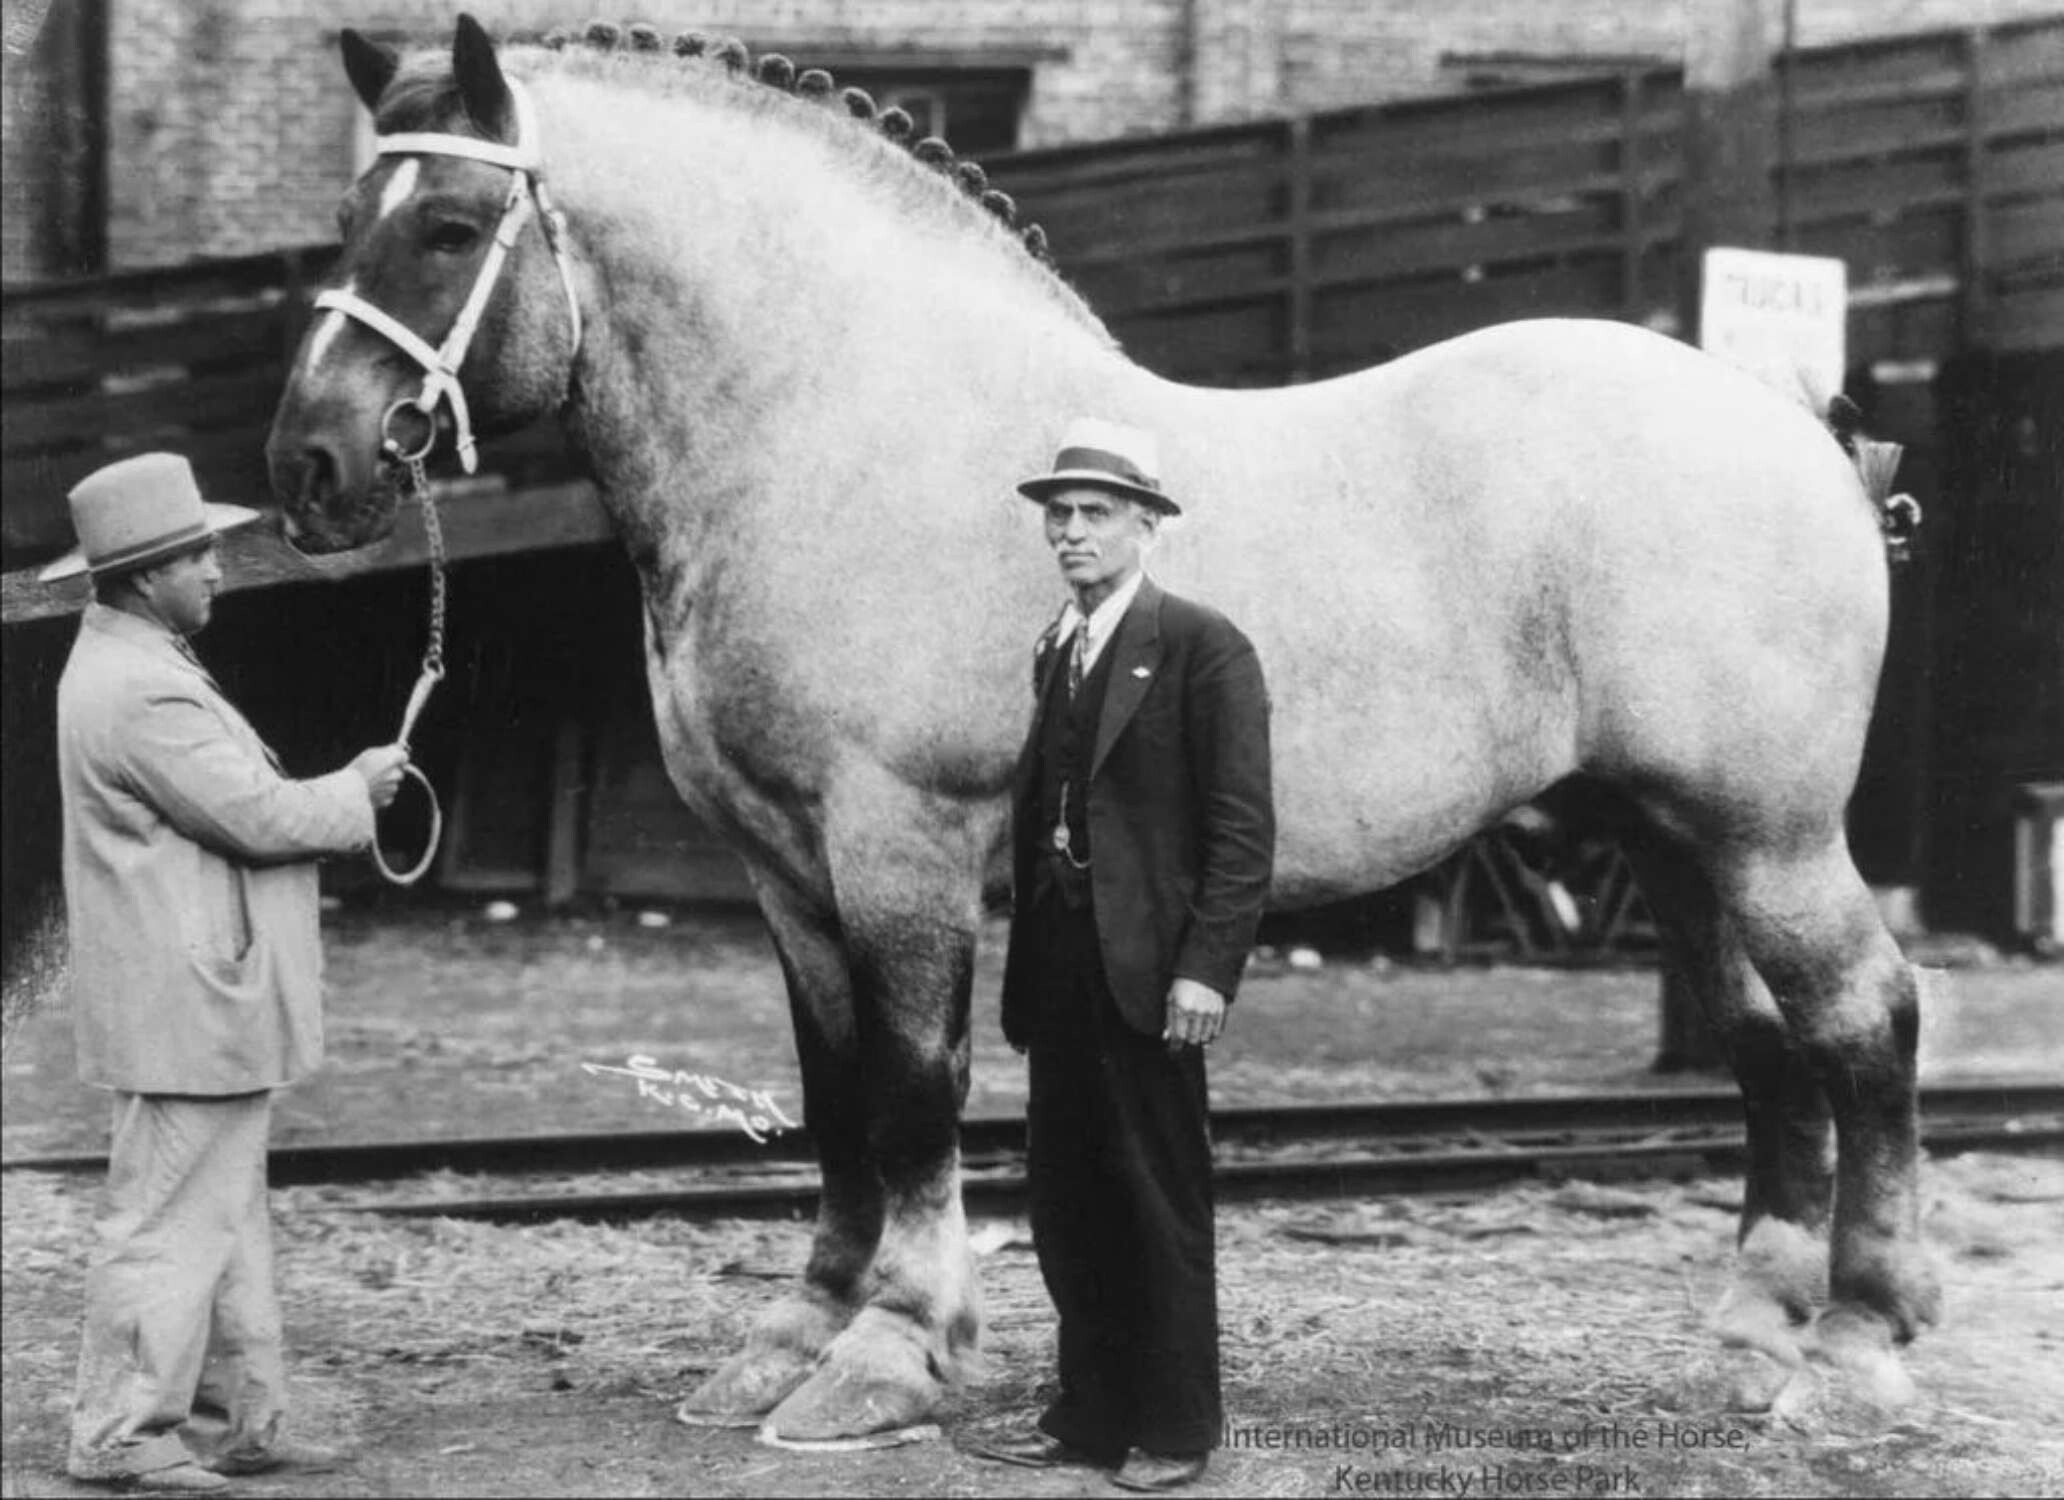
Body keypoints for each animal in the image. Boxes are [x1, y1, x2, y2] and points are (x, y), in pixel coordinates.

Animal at [270, 11, 1931, 1444]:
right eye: (349, 215)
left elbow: (912, 1092)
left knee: (1864, 1021)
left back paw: (1858, 1350)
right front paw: (797, 1334)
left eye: (448, 228)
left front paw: (890, 1352)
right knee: (1767, 1044)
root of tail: (1802, 430)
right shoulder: (784, 870)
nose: (313, 464)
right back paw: (1753, 1337)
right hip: (1673, 839)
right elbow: (832, 1093)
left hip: (1770, 838)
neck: (844, 427)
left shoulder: (900, 846)